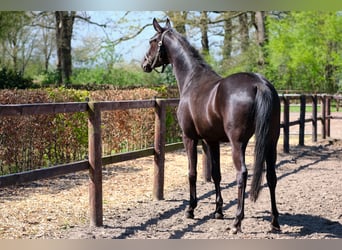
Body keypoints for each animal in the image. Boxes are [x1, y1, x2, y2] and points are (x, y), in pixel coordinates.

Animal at [142, 18, 280, 233]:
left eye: (153, 41)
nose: (144, 64)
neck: (192, 80)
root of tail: (259, 84)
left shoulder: (190, 138)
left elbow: (192, 173)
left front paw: (190, 209)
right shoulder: (212, 141)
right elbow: (216, 174)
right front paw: (218, 211)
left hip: (237, 143)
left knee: (242, 174)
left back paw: (237, 222)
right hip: (271, 141)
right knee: (272, 176)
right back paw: (274, 222)